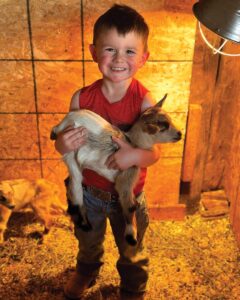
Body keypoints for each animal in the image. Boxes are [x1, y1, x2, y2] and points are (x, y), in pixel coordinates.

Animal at [51, 94, 182, 246]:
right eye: (163, 126)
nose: (180, 134)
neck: (132, 144)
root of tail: (64, 122)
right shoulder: (125, 181)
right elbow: (130, 206)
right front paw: (131, 238)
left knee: (70, 184)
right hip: (70, 152)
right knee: (76, 189)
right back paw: (84, 223)